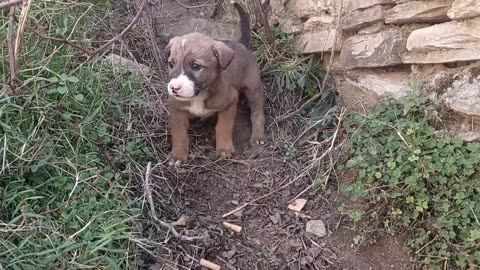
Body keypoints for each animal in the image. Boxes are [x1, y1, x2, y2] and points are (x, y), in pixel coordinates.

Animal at [166, 1, 266, 166]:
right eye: (171, 64)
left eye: (196, 66)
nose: (174, 88)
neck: (199, 95)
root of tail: (240, 43)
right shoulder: (176, 109)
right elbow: (179, 133)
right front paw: (178, 155)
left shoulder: (231, 102)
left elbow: (223, 127)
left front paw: (224, 149)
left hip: (253, 87)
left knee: (257, 112)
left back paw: (257, 136)